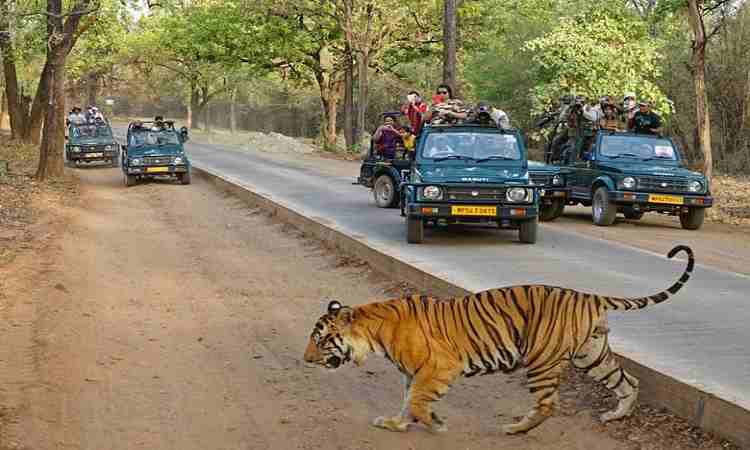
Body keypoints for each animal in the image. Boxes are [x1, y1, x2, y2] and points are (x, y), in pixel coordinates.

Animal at [302, 244, 696, 434]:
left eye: (321, 340)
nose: (305, 360)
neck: (373, 332)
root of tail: (588, 296)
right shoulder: (413, 374)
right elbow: (407, 402)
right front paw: (396, 424)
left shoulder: (439, 367)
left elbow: (416, 401)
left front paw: (436, 424)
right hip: (592, 355)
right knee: (629, 380)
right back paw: (615, 415)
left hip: (541, 360)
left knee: (549, 404)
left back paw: (516, 429)